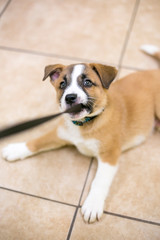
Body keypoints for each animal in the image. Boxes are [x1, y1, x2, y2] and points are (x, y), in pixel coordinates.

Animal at [1, 44, 160, 222]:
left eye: (87, 82)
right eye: (62, 84)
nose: (70, 97)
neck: (84, 123)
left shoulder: (109, 155)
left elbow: (99, 181)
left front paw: (93, 204)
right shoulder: (60, 133)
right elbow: (38, 141)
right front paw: (17, 149)